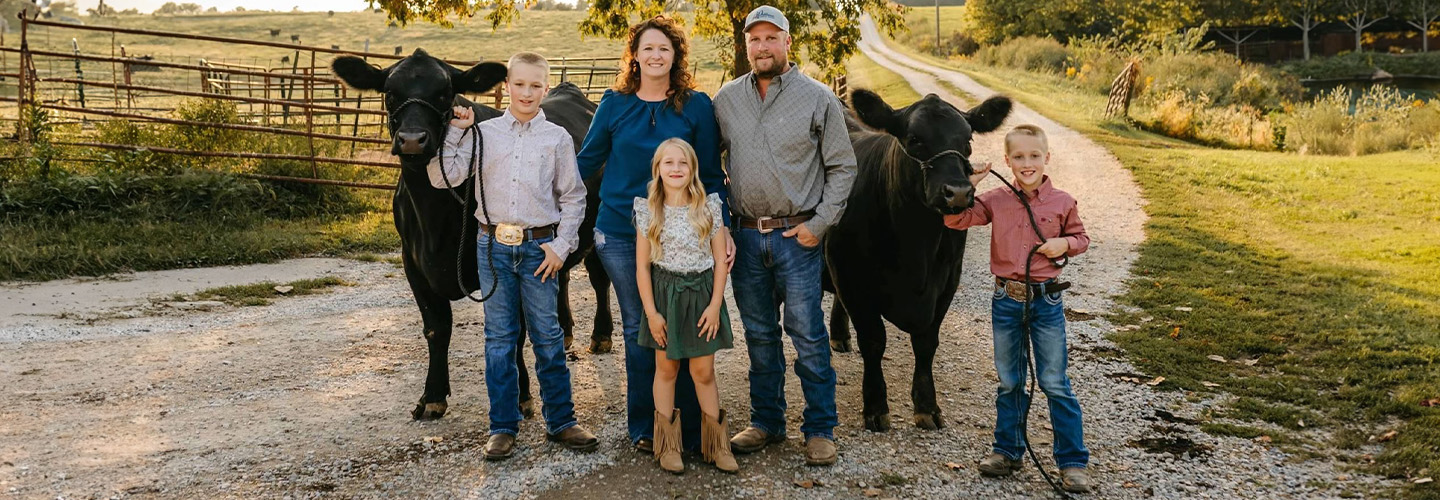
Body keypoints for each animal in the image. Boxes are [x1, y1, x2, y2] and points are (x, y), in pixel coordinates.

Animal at [331, 50, 613, 423]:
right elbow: (436, 327)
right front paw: (432, 397)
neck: (434, 218)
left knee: (598, 278)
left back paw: (601, 336)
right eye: (390, 92)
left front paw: (521, 395)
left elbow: (514, 329)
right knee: (562, 275)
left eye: (445, 93)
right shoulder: (412, 262)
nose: (412, 139)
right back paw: (564, 334)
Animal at [823, 88, 1013, 432]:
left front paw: (927, 406)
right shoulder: (852, 278)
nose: (958, 192)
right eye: (914, 139)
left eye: (968, 141)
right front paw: (876, 406)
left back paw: (840, 337)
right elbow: (873, 341)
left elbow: (926, 343)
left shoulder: (947, 281)